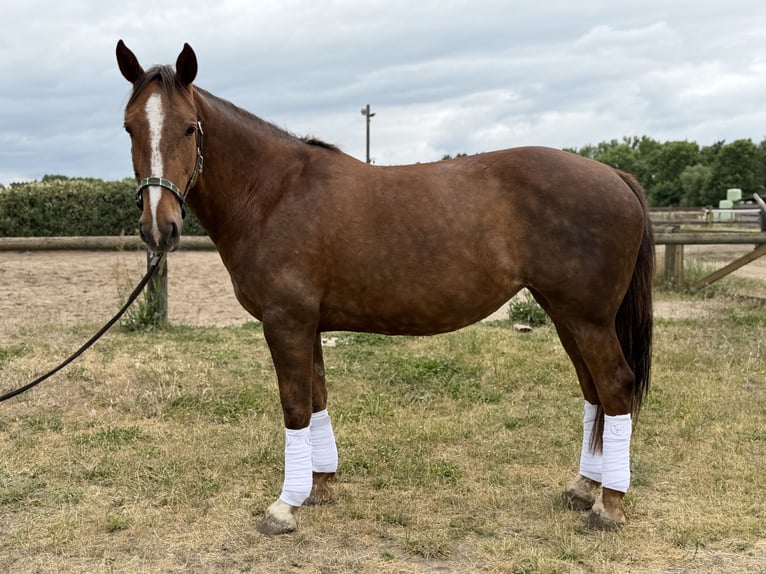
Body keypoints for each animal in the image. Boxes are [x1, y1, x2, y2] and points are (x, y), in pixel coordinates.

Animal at [116, 40, 653, 535]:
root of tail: (615, 175)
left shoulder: (285, 323)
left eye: (189, 127)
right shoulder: (308, 325)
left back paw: (608, 505)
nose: (159, 228)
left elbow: (295, 406)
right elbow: (317, 398)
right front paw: (320, 487)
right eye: (129, 128)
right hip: (565, 314)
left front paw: (285, 506)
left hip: (587, 317)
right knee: (592, 390)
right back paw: (583, 488)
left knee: (615, 387)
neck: (274, 194)